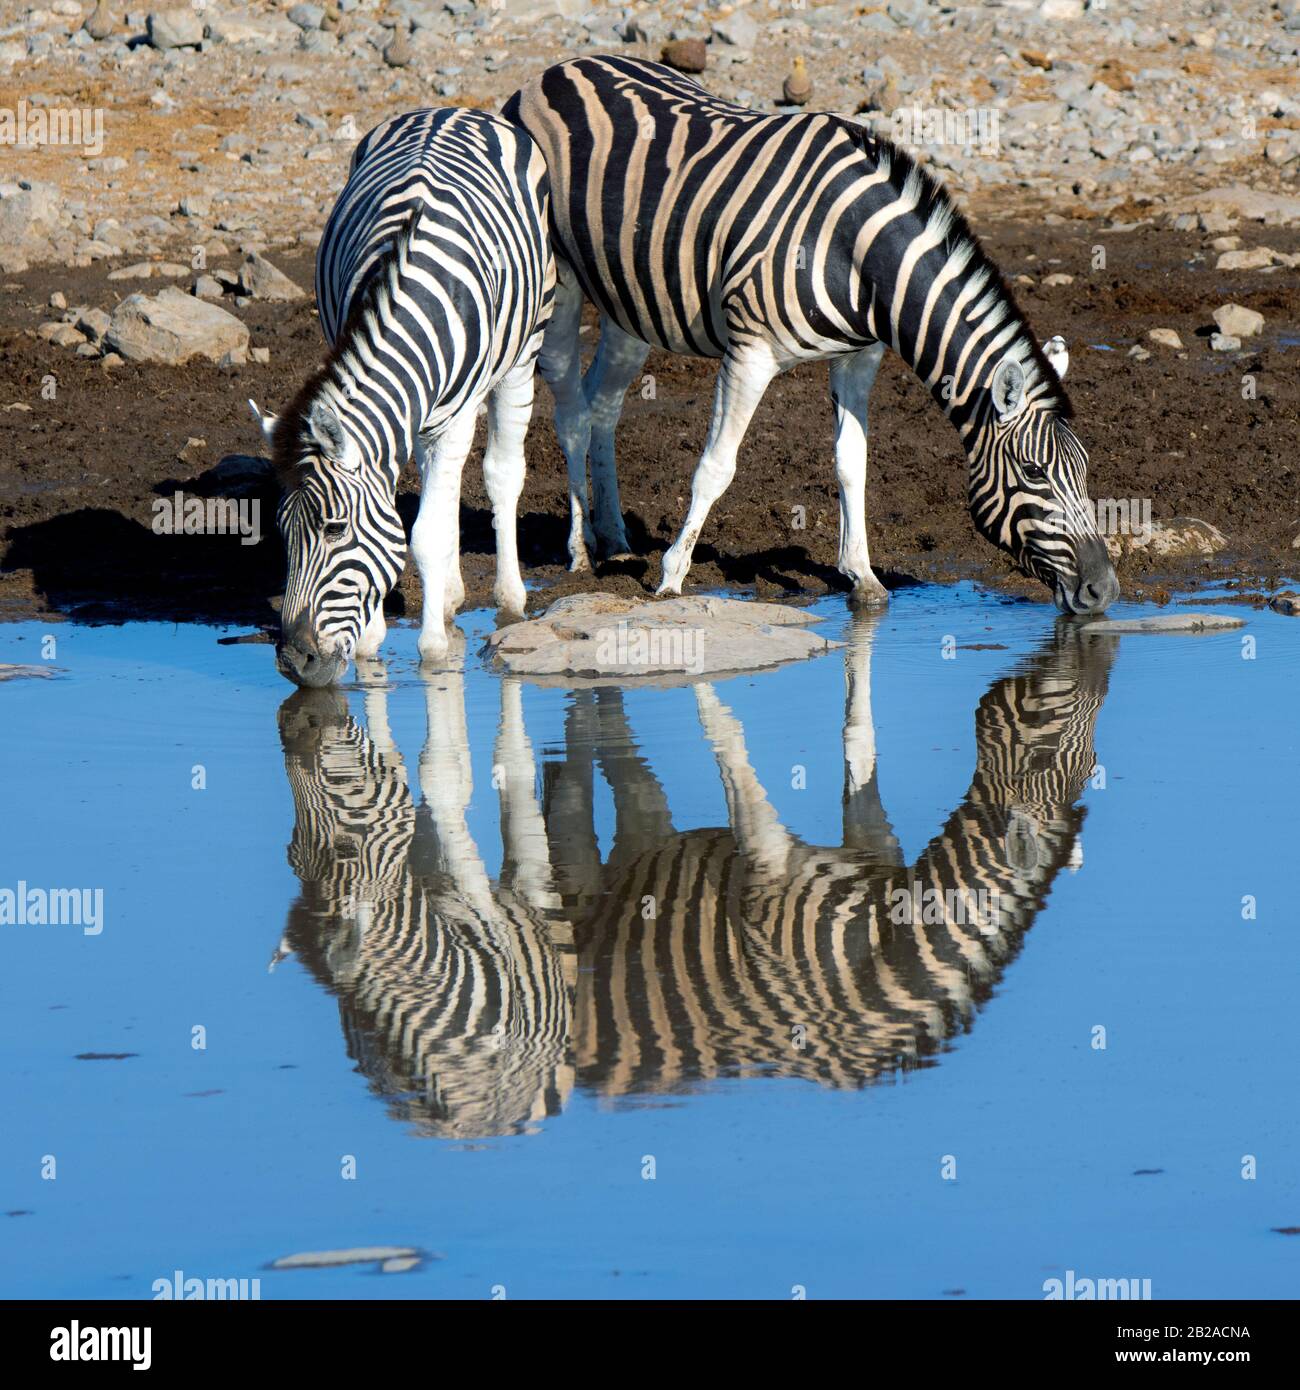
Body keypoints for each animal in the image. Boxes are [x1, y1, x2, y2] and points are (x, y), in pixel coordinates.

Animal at [249, 108, 555, 686]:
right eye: (281, 530)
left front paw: (434, 649)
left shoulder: (457, 415)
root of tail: (451, 110)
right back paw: (453, 594)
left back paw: (508, 598)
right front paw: (371, 640)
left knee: (501, 473)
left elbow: (425, 535)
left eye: (334, 528)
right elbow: (398, 520)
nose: (293, 662)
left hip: (524, 352)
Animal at [505, 55, 1120, 615]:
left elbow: (852, 460)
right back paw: (581, 550)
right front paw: (672, 575)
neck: (859, 251)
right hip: (560, 281)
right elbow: (716, 466)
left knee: (603, 403)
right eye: (1034, 473)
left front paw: (863, 576)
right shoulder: (748, 353)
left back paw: (613, 537)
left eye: (1087, 470)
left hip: (631, 300)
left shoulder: (860, 355)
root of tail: (556, 68)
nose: (1104, 590)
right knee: (571, 406)